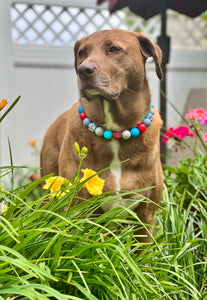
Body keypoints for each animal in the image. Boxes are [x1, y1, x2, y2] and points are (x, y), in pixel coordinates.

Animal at [40, 28, 163, 244]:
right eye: (82, 52)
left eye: (114, 49)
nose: (84, 70)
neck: (115, 132)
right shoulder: (76, 210)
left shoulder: (145, 216)